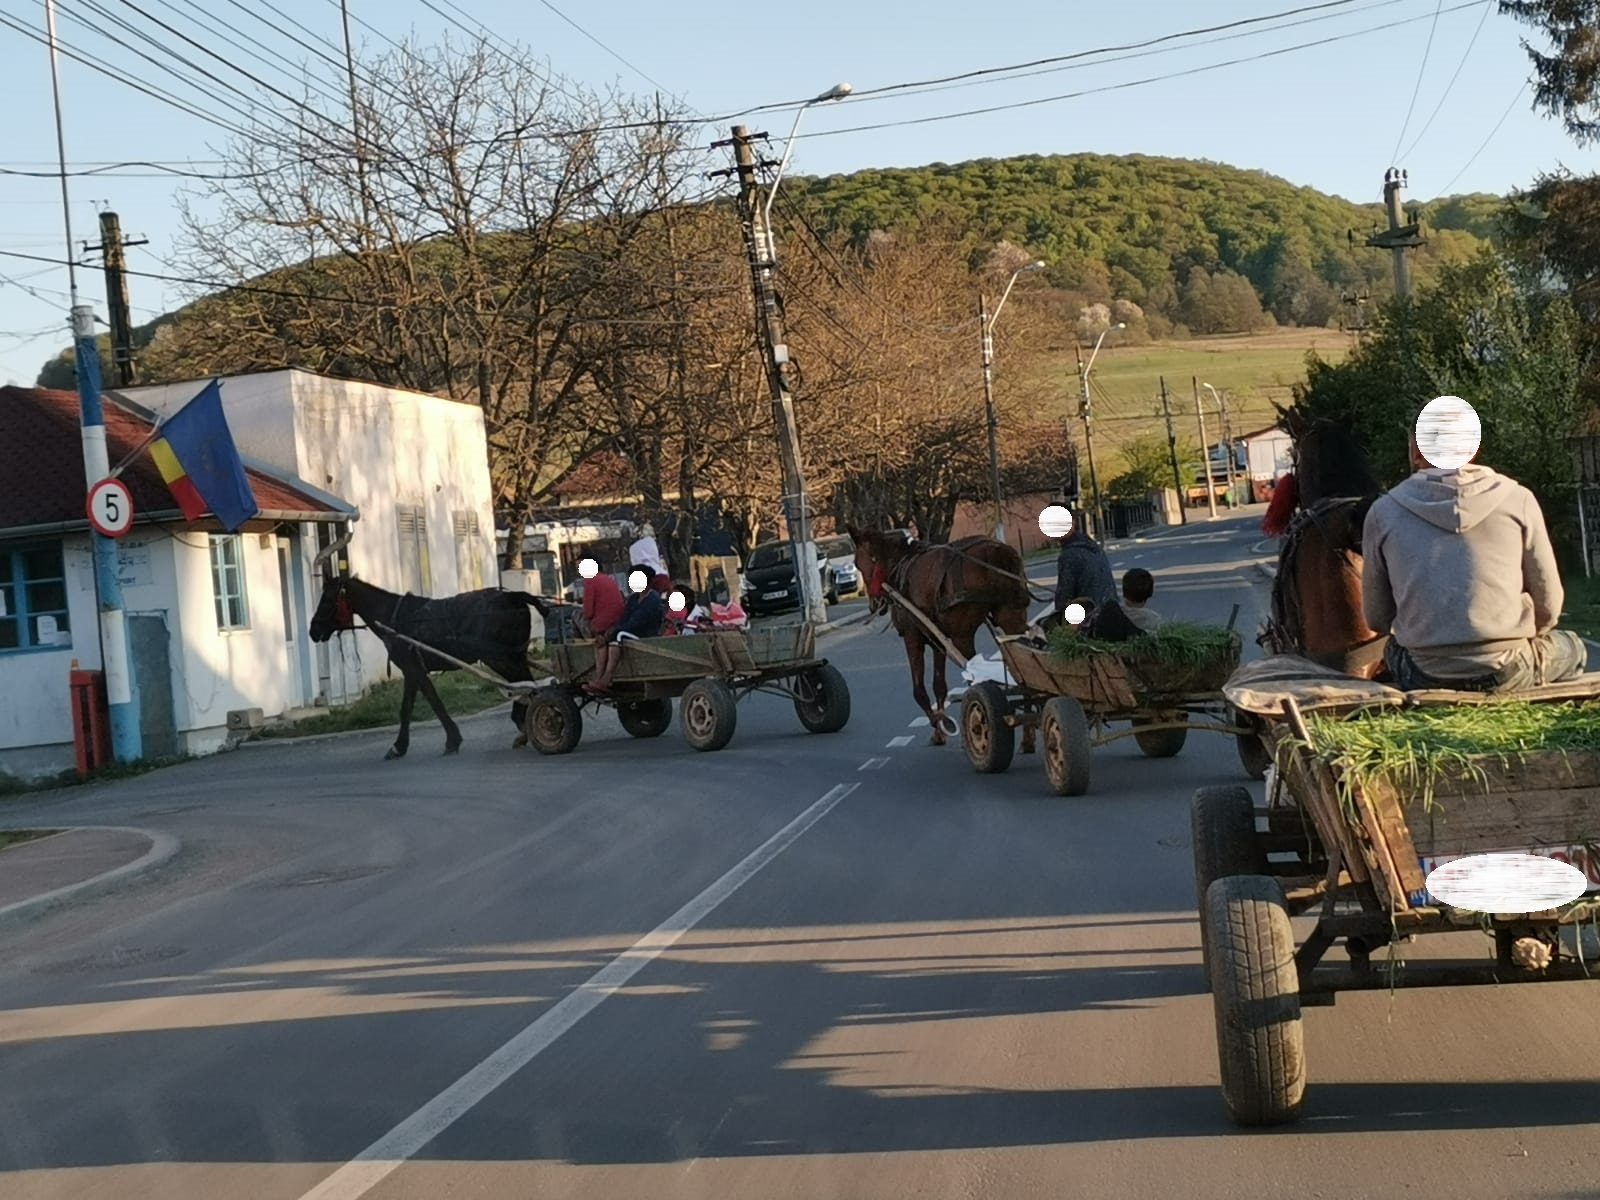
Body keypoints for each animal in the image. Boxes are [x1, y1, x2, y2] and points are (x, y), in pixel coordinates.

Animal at [308, 576, 553, 761]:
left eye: (327, 598)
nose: (313, 630)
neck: (392, 617)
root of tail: (514, 595)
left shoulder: (413, 667)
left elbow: (427, 703)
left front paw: (448, 741)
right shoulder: (413, 670)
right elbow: (412, 706)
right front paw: (404, 745)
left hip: (500, 658)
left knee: (528, 686)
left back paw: (528, 725)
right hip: (514, 656)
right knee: (526, 685)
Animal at [844, 528, 1030, 748]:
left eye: (858, 563)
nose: (874, 605)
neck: (899, 566)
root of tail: (996, 549)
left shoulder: (913, 638)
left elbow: (919, 690)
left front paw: (941, 724)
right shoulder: (938, 641)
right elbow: (939, 685)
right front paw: (939, 728)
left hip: (963, 636)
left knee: (976, 678)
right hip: (1011, 619)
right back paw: (1027, 738)